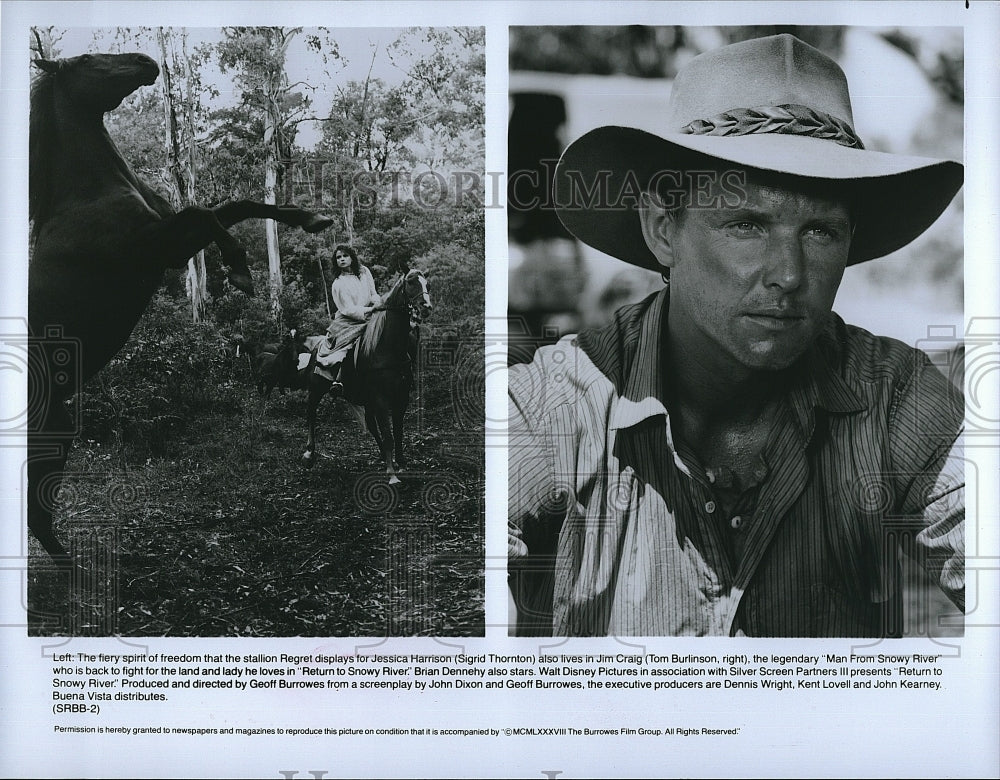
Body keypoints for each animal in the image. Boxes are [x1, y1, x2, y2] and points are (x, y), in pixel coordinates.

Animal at [26, 53, 332, 568]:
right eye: (87, 61)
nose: (146, 62)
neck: (88, 194)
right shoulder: (160, 247)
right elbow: (207, 216)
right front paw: (239, 270)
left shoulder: (170, 237)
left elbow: (234, 204)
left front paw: (311, 219)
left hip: (56, 436)